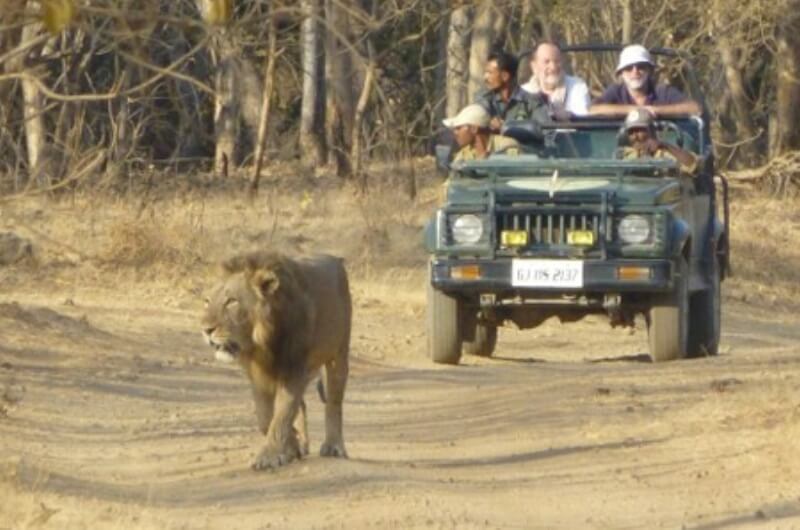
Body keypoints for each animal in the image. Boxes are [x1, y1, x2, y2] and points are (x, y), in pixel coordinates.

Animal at [200, 250, 350, 468]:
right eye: (207, 301)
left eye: (232, 301)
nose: (206, 330)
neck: (261, 342)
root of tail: (335, 259)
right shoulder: (257, 373)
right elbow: (266, 416)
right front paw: (291, 447)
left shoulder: (294, 368)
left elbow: (283, 413)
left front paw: (270, 456)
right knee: (302, 405)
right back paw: (302, 445)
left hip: (338, 353)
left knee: (334, 402)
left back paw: (334, 447)